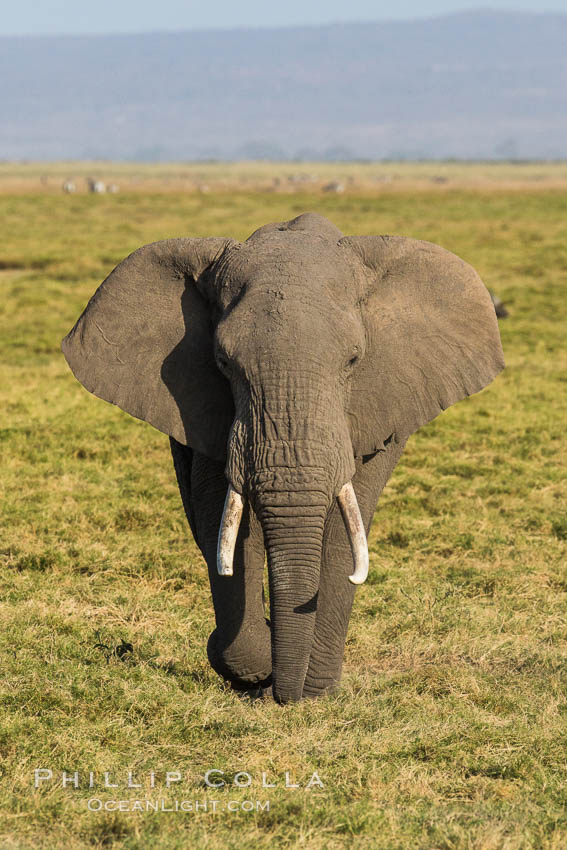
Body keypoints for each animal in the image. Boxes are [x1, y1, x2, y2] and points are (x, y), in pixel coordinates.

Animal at [63, 212, 506, 704]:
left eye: (354, 360)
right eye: (223, 362)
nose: (285, 694)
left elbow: (346, 529)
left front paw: (315, 690)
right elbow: (225, 522)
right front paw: (254, 669)